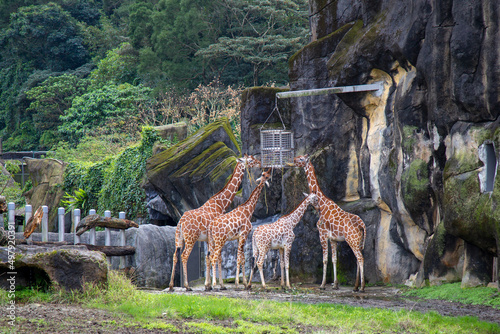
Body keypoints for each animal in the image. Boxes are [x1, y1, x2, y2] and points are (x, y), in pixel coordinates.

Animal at [169, 153, 262, 290]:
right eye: (250, 160)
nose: (259, 163)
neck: (220, 204)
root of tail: (180, 222)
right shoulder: (217, 237)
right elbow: (218, 258)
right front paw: (219, 285)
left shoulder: (209, 239)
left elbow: (209, 257)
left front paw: (208, 285)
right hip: (191, 238)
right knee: (184, 256)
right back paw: (187, 286)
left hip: (179, 238)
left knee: (175, 255)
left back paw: (171, 286)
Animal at [292, 155, 368, 292]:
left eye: (301, 159)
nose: (294, 160)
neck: (322, 204)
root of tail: (362, 225)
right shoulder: (333, 238)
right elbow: (334, 259)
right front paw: (336, 284)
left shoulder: (322, 234)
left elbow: (325, 260)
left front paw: (322, 285)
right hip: (358, 241)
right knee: (358, 258)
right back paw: (355, 286)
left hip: (352, 239)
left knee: (360, 258)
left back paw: (362, 287)